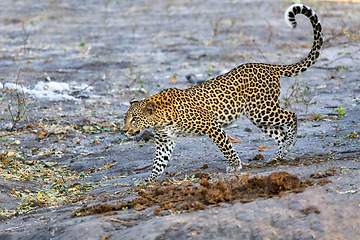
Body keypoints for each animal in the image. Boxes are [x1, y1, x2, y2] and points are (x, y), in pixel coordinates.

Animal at [122, 4, 322, 188]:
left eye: (134, 119)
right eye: (126, 119)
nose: (123, 130)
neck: (160, 120)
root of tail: (269, 66)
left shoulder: (212, 125)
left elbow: (225, 146)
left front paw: (234, 165)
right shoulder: (165, 141)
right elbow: (158, 163)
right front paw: (147, 180)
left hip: (262, 110)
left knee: (291, 116)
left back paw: (289, 144)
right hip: (258, 117)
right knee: (280, 132)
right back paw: (279, 156)